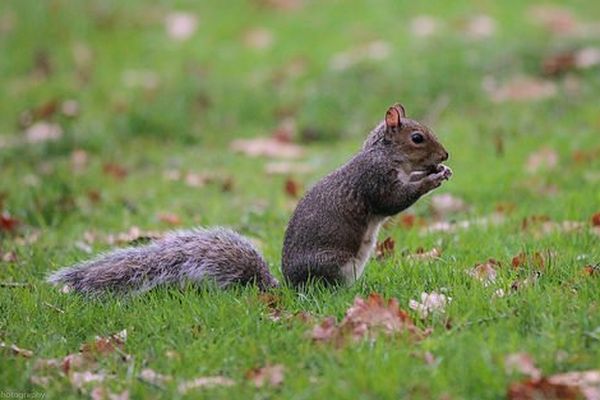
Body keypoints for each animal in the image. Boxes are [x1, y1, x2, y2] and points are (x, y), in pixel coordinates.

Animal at [48, 104, 450, 296]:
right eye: (417, 138)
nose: (445, 155)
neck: (385, 155)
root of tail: (288, 288)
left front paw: (438, 172)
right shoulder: (374, 180)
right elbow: (394, 200)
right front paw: (432, 179)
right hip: (332, 263)